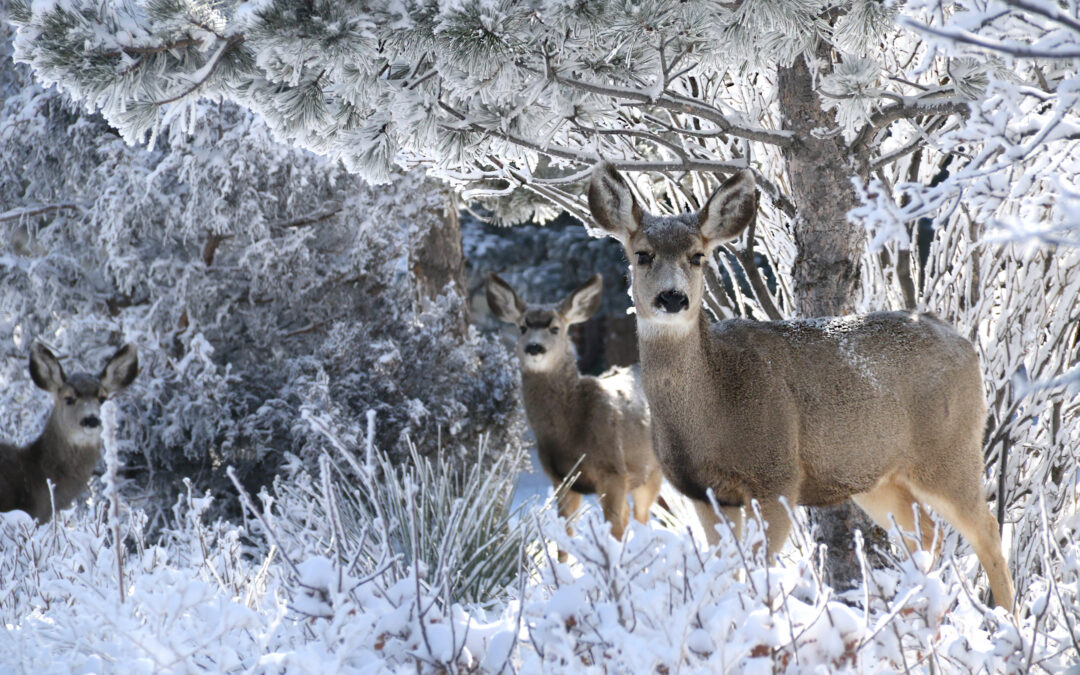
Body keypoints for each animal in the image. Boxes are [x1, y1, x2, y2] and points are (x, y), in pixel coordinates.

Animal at [488, 271, 656, 544]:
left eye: (555, 328)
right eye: (522, 327)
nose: (534, 347)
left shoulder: (613, 471)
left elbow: (614, 533)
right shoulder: (561, 479)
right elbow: (565, 540)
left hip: (652, 472)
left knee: (643, 518)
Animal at [587, 160, 1015, 609]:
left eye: (698, 256)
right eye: (642, 254)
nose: (672, 298)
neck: (714, 404)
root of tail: (965, 343)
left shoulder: (776, 477)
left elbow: (759, 569)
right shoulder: (704, 493)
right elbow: (725, 572)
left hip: (949, 451)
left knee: (986, 530)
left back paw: (1005, 618)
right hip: (877, 477)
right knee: (925, 534)